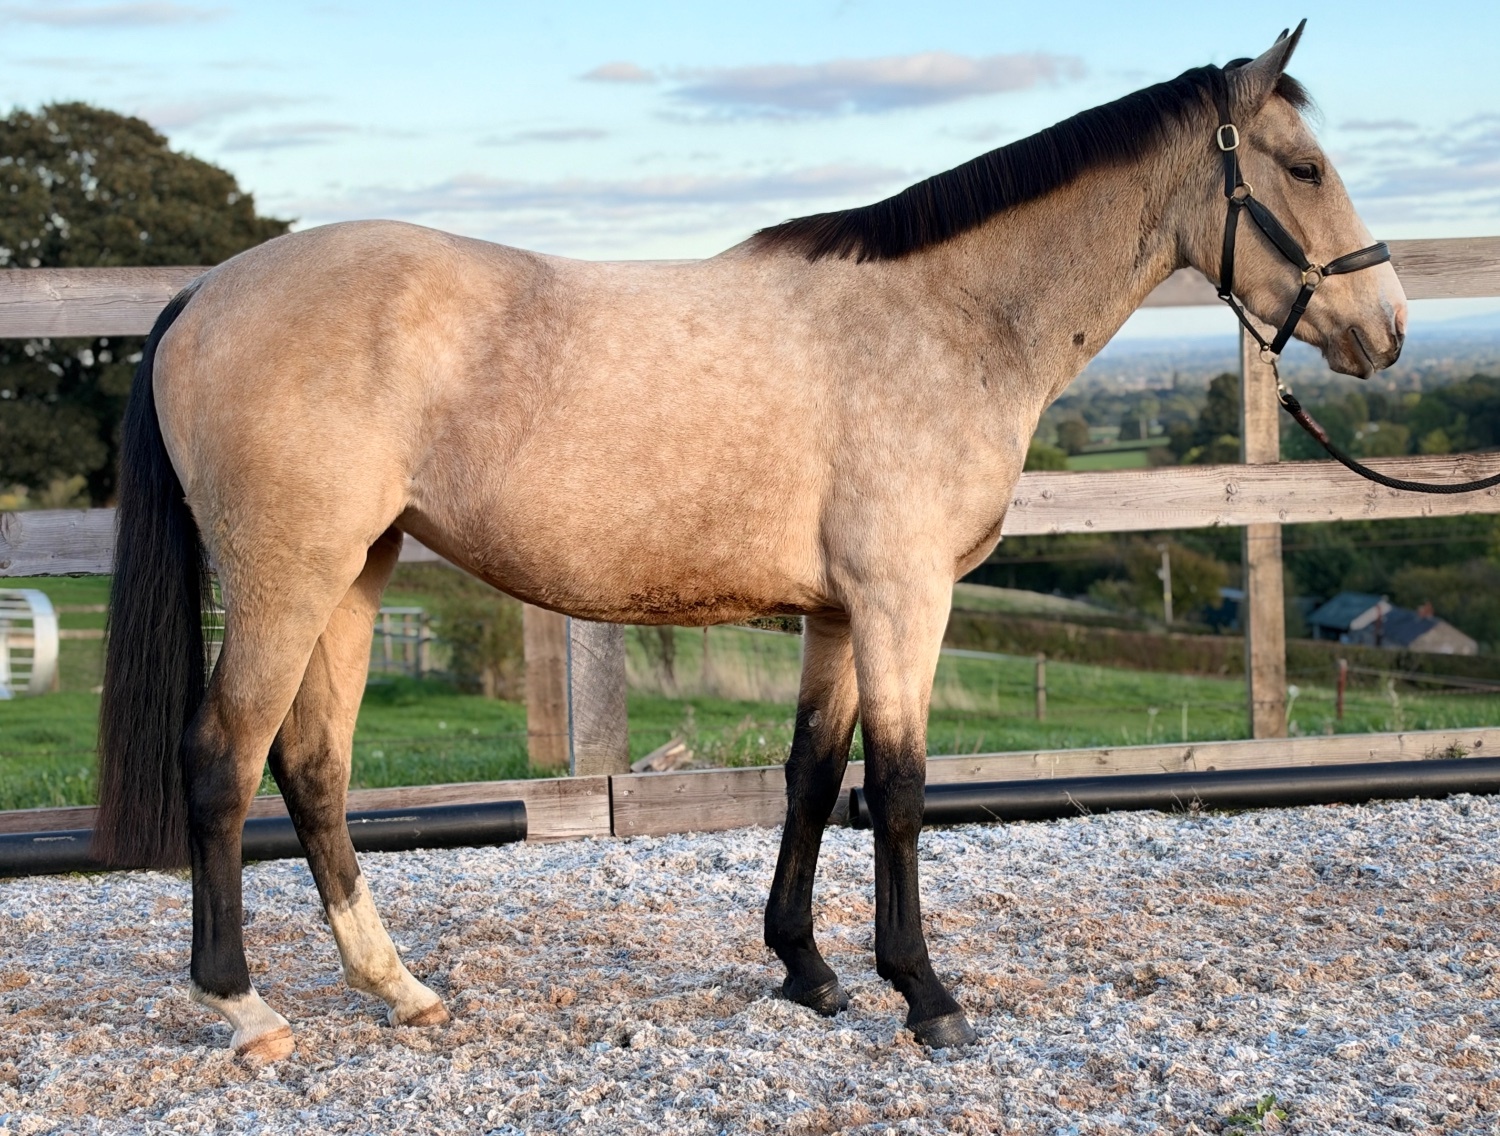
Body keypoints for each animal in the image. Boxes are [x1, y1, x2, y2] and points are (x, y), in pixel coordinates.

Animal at [94, 24, 1405, 1060]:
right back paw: (245, 1008)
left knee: (313, 766)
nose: (1386, 327)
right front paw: (925, 995)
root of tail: (203, 295)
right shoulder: (901, 599)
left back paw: (398, 986)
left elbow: (814, 776)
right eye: (1303, 165)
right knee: (221, 760)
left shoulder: (835, 612)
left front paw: (808, 969)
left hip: (354, 578)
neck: (949, 320)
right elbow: (902, 790)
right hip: (288, 578)